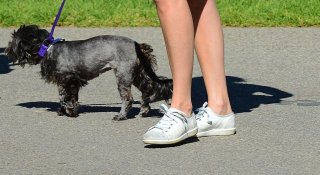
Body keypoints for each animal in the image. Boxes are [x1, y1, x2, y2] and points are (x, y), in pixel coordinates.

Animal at [4, 24, 172, 120]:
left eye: (14, 39)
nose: (7, 50)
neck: (49, 48)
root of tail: (136, 44)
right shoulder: (66, 82)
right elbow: (65, 97)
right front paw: (65, 111)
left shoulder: (69, 80)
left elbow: (65, 98)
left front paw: (69, 111)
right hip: (138, 74)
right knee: (150, 89)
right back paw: (145, 110)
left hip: (123, 76)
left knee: (128, 99)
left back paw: (121, 116)